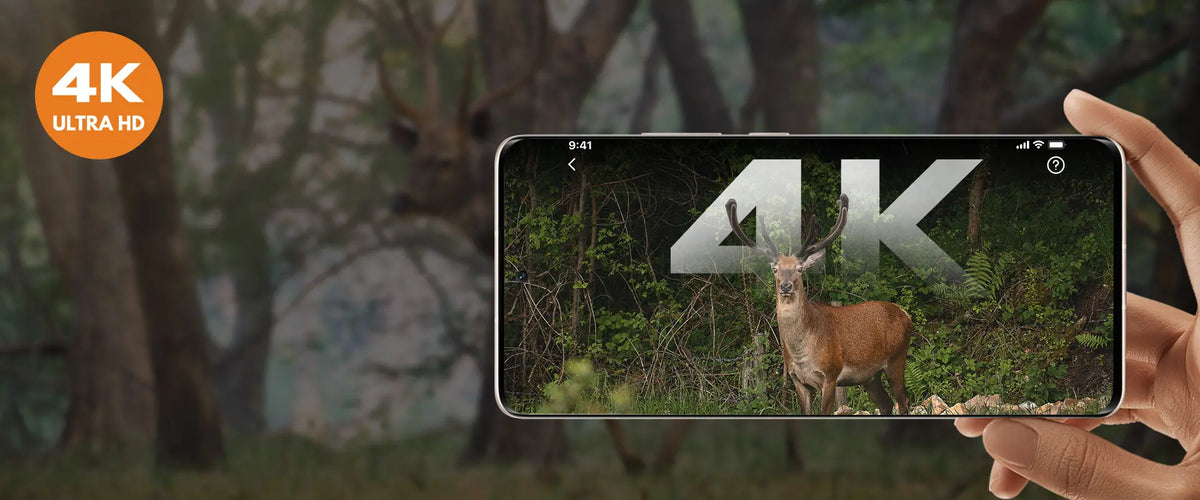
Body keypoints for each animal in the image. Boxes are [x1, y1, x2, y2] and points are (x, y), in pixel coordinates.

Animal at [726, 194, 913, 415]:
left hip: (896, 359)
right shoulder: (797, 379)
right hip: (870, 376)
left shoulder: (830, 374)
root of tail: (906, 315)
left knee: (903, 401)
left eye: (799, 268)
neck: (802, 353)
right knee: (886, 404)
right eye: (775, 269)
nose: (786, 286)